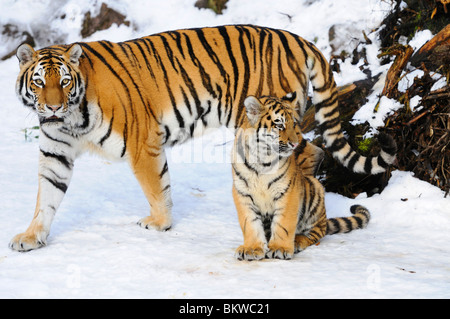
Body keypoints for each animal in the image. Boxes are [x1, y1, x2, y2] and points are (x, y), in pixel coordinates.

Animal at [7, 25, 394, 252]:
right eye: (39, 82)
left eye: (65, 81)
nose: (52, 107)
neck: (71, 119)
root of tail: (298, 38)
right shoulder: (55, 152)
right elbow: (46, 198)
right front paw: (31, 237)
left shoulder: (143, 142)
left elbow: (155, 187)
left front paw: (159, 224)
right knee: (313, 150)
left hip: (266, 124)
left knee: (300, 159)